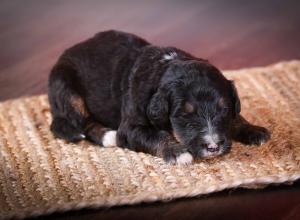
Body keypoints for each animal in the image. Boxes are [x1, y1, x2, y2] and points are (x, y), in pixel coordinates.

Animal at [48, 30, 270, 165]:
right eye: (185, 115)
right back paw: (107, 135)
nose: (213, 146)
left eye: (223, 109)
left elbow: (236, 116)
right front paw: (178, 152)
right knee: (82, 121)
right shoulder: (130, 128)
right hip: (66, 87)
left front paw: (253, 129)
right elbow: (156, 135)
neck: (166, 65)